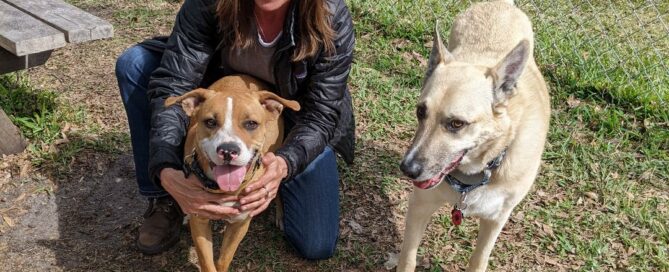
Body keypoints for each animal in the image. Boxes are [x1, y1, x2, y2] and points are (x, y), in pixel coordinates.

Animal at [164, 75, 300, 272]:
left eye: (251, 124)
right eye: (210, 122)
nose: (228, 150)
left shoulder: (240, 224)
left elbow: (223, 259)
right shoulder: (200, 222)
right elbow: (207, 263)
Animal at [396, 1, 548, 270]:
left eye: (457, 123)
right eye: (420, 111)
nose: (408, 169)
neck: (473, 176)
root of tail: (501, 4)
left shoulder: (496, 219)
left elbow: (479, 260)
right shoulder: (419, 205)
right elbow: (408, 258)